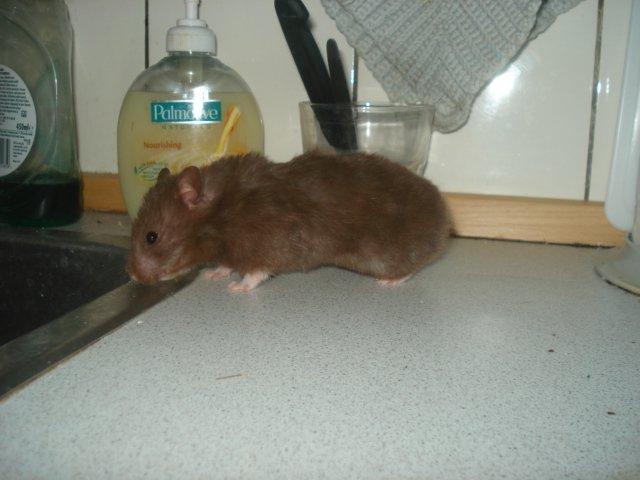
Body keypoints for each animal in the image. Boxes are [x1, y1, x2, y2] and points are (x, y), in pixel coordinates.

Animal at [127, 151, 451, 293]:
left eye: (151, 237)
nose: (132, 277)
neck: (219, 214)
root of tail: (444, 218)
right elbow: (226, 264)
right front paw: (213, 274)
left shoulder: (265, 244)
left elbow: (255, 272)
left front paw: (236, 287)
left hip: (385, 254)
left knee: (410, 268)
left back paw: (388, 281)